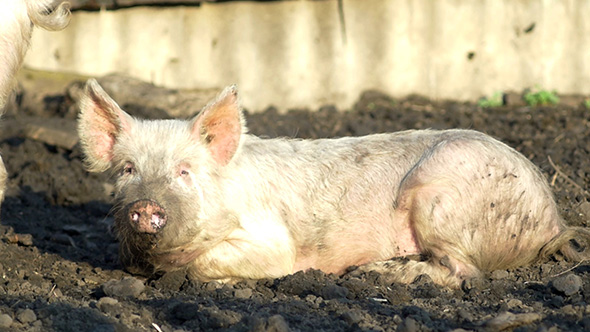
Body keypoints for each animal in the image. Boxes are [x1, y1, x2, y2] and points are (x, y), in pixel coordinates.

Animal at [78, 81, 590, 288]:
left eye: (185, 171)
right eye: (127, 169)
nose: (146, 206)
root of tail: (552, 220)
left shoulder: (271, 241)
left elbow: (219, 264)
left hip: (440, 196)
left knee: (464, 272)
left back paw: (373, 274)